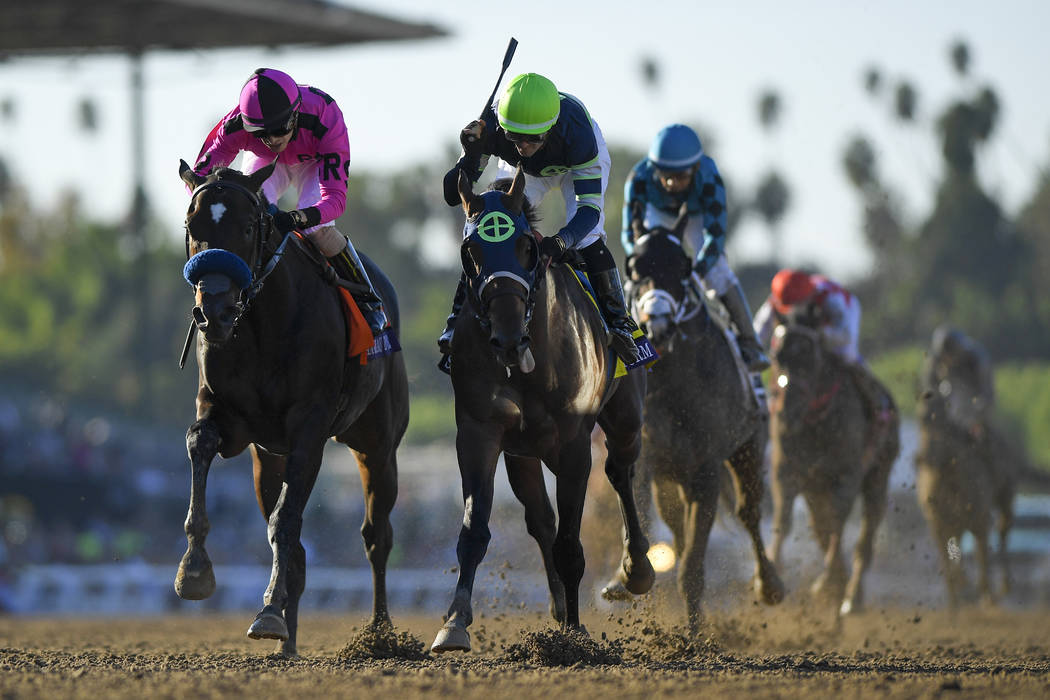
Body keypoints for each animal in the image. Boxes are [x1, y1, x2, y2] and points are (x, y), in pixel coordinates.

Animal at [176, 162, 405, 659]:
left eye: (247, 227)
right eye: (191, 227)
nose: (213, 313)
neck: (262, 324)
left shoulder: (309, 427)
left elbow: (286, 522)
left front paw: (266, 610)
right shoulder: (227, 416)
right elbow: (199, 441)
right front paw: (195, 570)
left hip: (377, 445)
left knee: (377, 535)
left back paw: (380, 634)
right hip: (267, 460)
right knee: (296, 544)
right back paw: (288, 640)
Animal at [430, 166, 651, 654]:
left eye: (527, 248)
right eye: (470, 251)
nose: (508, 339)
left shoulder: (574, 447)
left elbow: (570, 542)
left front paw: (576, 635)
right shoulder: (479, 434)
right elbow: (475, 529)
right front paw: (453, 623)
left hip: (626, 416)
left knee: (621, 472)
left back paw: (637, 569)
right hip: (523, 454)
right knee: (541, 520)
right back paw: (560, 605)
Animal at [604, 216, 785, 633]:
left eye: (683, 267)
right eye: (634, 267)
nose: (659, 323)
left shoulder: (707, 469)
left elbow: (693, 567)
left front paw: (694, 635)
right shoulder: (647, 461)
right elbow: (644, 521)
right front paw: (629, 577)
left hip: (748, 450)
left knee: (749, 513)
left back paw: (770, 584)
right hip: (673, 479)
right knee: (677, 526)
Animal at [764, 314, 902, 617]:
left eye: (811, 358)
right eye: (776, 356)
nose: (787, 412)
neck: (816, 422)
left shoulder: (846, 474)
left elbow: (837, 521)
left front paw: (827, 582)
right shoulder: (786, 470)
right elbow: (784, 520)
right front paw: (769, 575)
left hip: (879, 473)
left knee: (865, 534)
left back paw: (851, 596)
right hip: (814, 489)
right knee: (820, 526)